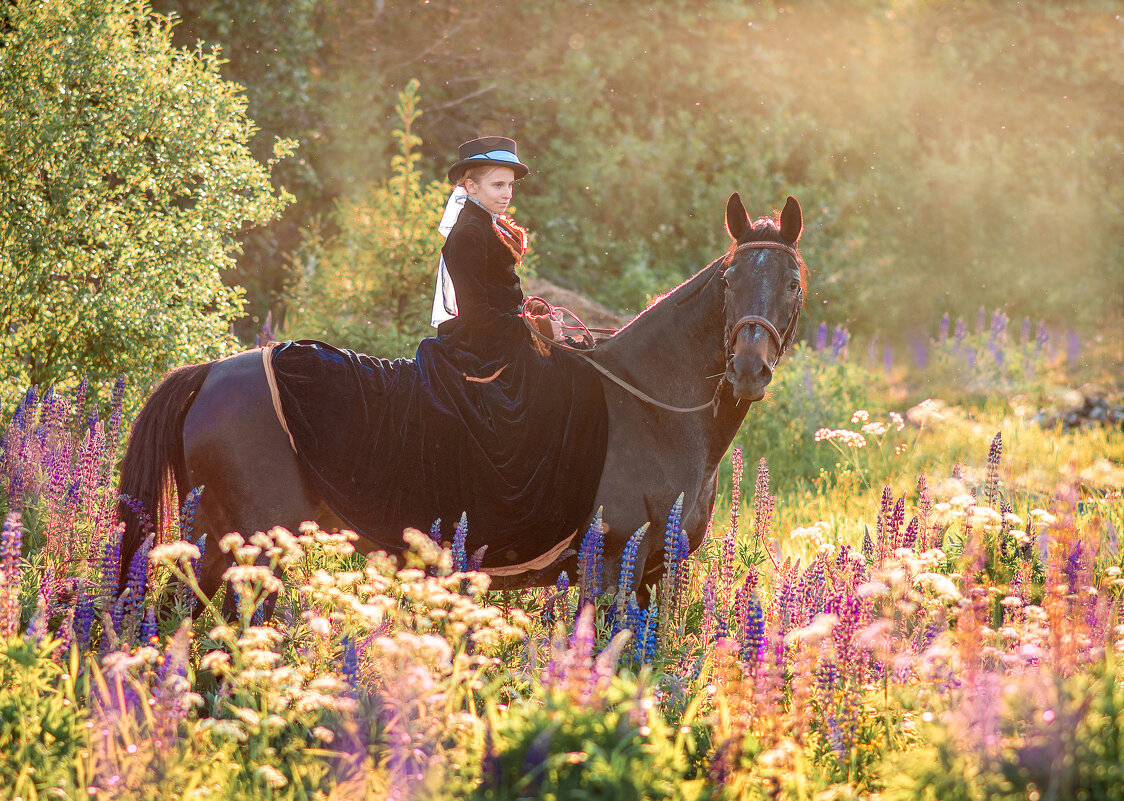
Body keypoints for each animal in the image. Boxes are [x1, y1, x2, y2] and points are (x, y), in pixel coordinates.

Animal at [116, 195, 809, 602]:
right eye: (731, 279)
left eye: (793, 282)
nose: (748, 369)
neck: (654, 410)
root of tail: (208, 372)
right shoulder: (612, 564)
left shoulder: (660, 571)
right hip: (251, 544)